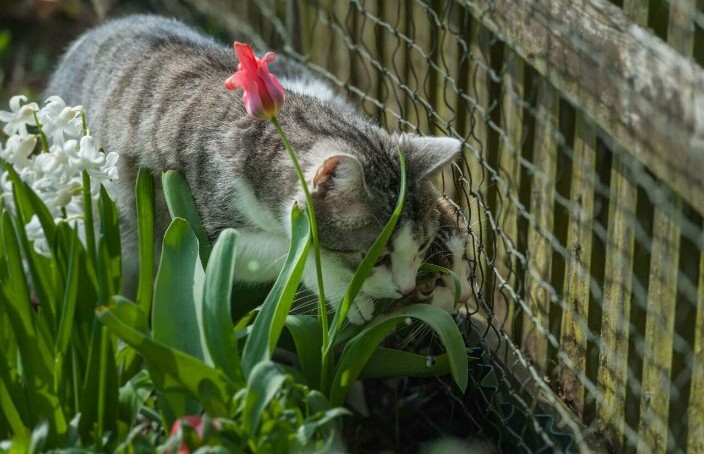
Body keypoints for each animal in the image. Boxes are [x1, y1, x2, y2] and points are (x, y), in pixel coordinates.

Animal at [42, 15, 462, 322]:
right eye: (376, 257)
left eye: (421, 245)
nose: (407, 288)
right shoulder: (195, 230)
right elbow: (287, 249)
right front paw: (346, 292)